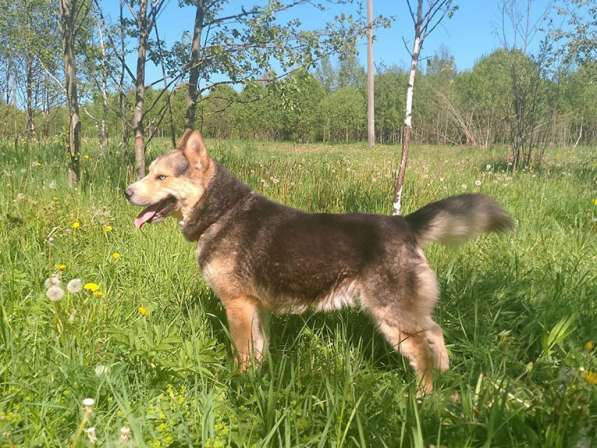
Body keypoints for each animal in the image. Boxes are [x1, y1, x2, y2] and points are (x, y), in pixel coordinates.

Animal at [122, 130, 512, 392]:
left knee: (421, 352)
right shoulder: (255, 309)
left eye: (160, 176)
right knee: (435, 332)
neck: (222, 212)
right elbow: (259, 351)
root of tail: (404, 223)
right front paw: (258, 384)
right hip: (406, 311)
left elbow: (243, 355)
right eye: (149, 172)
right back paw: (445, 374)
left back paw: (422, 398)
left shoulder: (237, 306)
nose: (126, 192)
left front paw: (241, 386)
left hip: (391, 316)